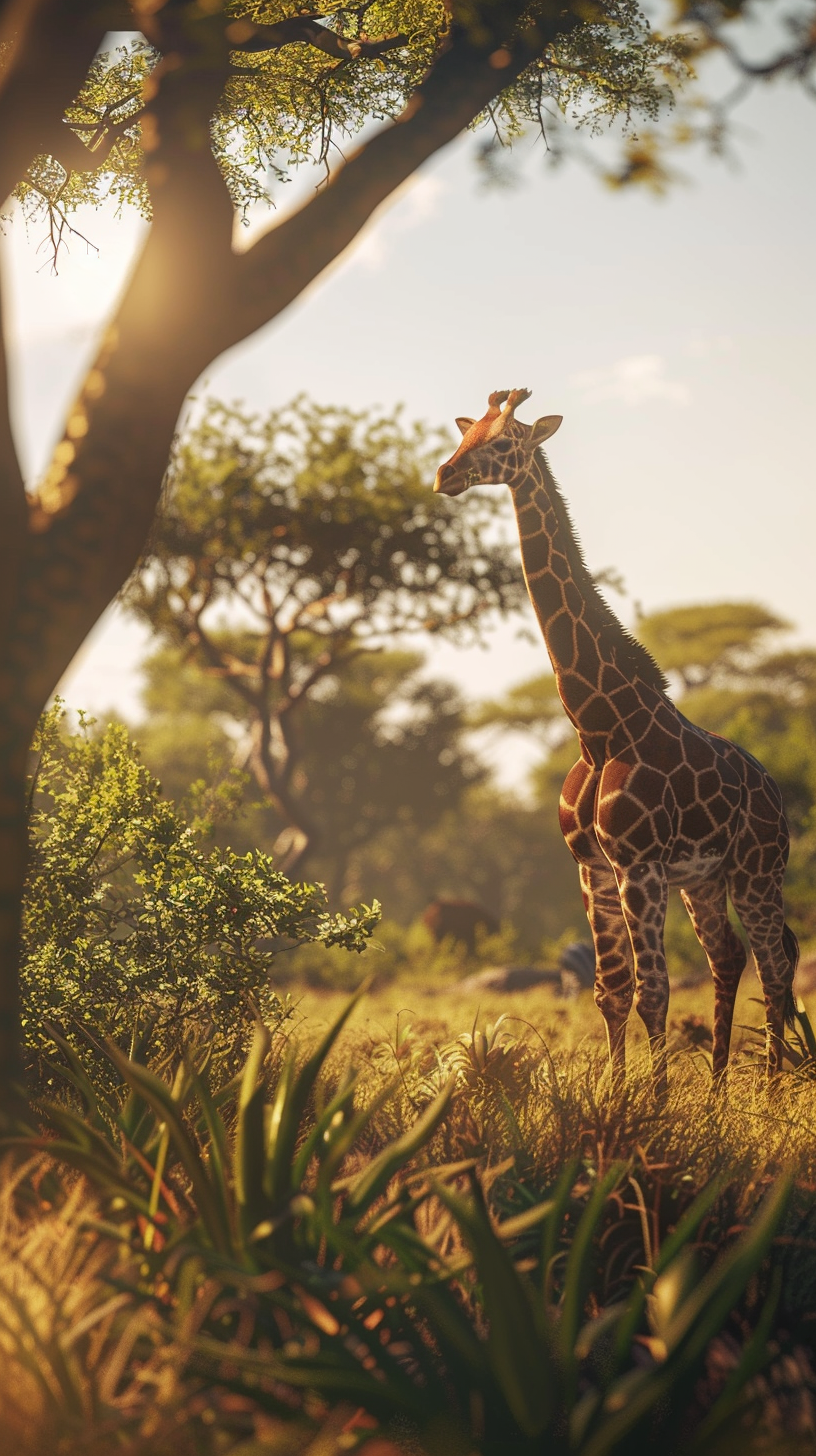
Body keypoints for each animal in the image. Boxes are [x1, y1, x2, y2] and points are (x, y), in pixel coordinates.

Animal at [434, 387, 798, 1094]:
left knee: (776, 959)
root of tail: (774, 792)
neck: (600, 728)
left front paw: (654, 1102)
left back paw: (769, 1090)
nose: (445, 475)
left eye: (504, 441)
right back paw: (718, 1092)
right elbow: (611, 989)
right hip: (704, 879)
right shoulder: (592, 866)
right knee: (730, 955)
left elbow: (655, 989)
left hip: (754, 869)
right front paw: (621, 1091)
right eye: (465, 436)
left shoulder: (639, 865)